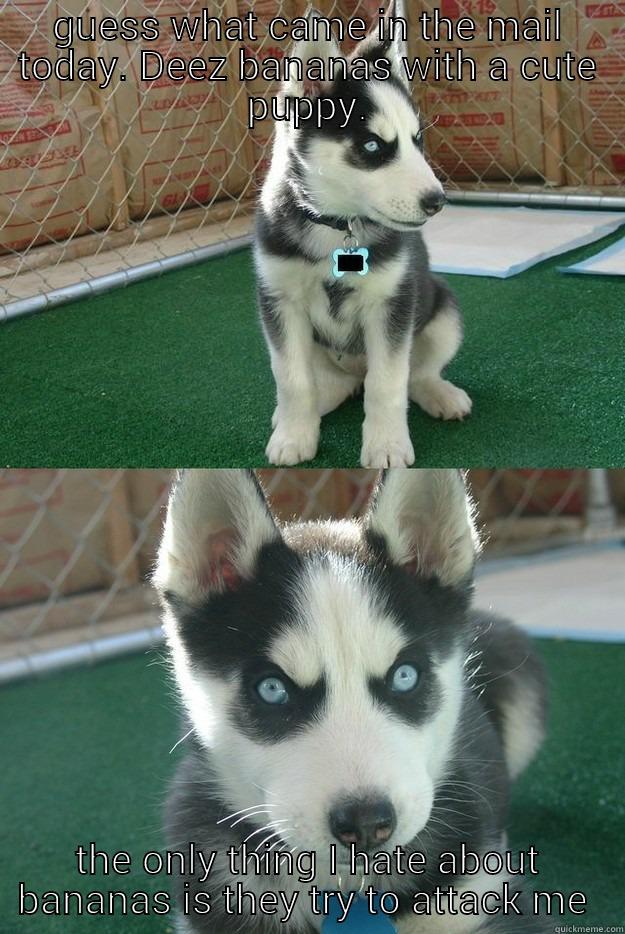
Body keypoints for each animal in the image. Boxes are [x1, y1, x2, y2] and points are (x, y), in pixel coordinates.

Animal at [256, 11, 470, 468]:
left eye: (417, 141)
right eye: (372, 146)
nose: (437, 202)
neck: (337, 226)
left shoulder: (391, 305)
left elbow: (387, 383)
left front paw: (386, 445)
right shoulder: (280, 302)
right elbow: (292, 379)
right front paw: (294, 435)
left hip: (443, 311)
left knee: (414, 374)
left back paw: (440, 393)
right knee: (329, 384)